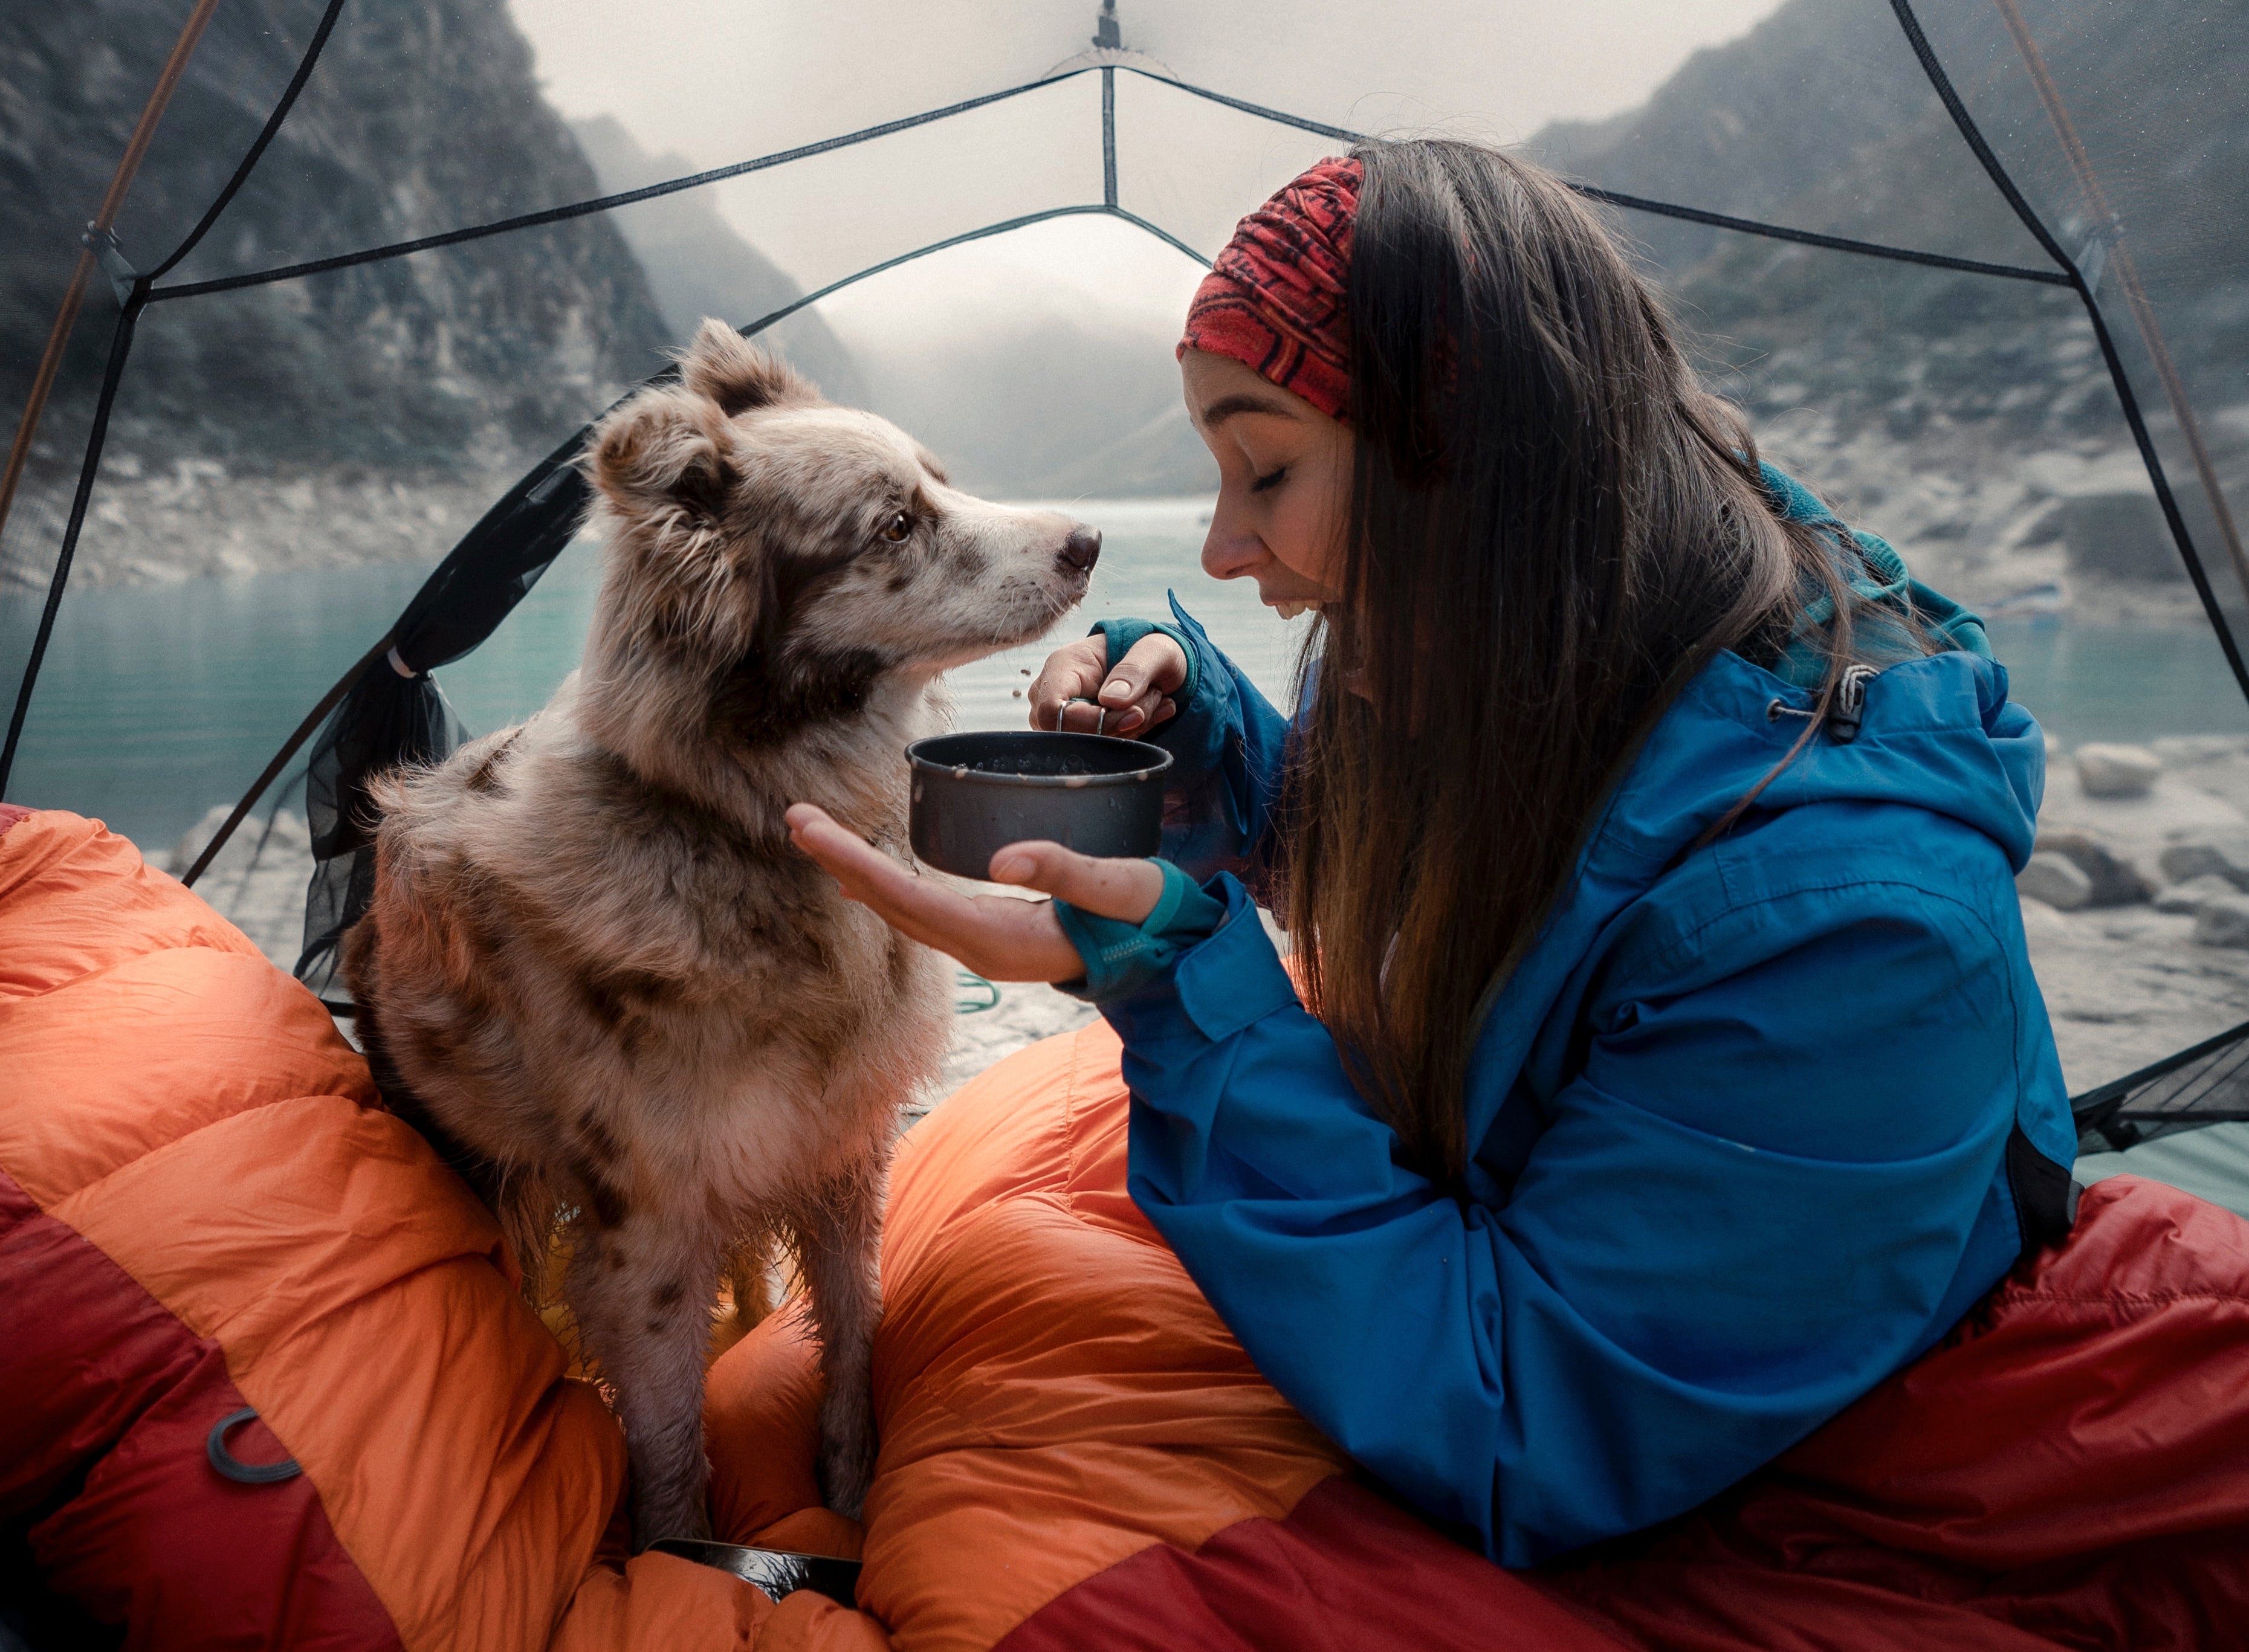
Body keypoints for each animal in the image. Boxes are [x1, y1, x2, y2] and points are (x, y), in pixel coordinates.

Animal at [339, 323, 1097, 1546]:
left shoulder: (840, 1158)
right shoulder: (647, 1237)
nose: (1087, 541)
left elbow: (852, 1349)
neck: (738, 830)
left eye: (940, 479)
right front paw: (688, 1555)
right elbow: (669, 1455)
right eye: (894, 524)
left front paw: (851, 1504)